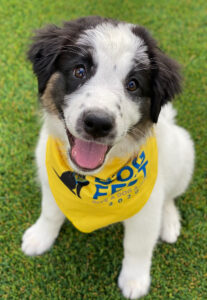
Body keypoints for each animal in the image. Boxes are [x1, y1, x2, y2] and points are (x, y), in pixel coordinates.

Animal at [21, 17, 195, 300]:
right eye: (79, 71)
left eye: (133, 84)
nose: (97, 123)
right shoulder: (50, 179)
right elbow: (50, 211)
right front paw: (40, 237)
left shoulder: (147, 206)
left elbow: (138, 245)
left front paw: (135, 280)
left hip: (183, 153)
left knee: (170, 196)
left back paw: (169, 222)